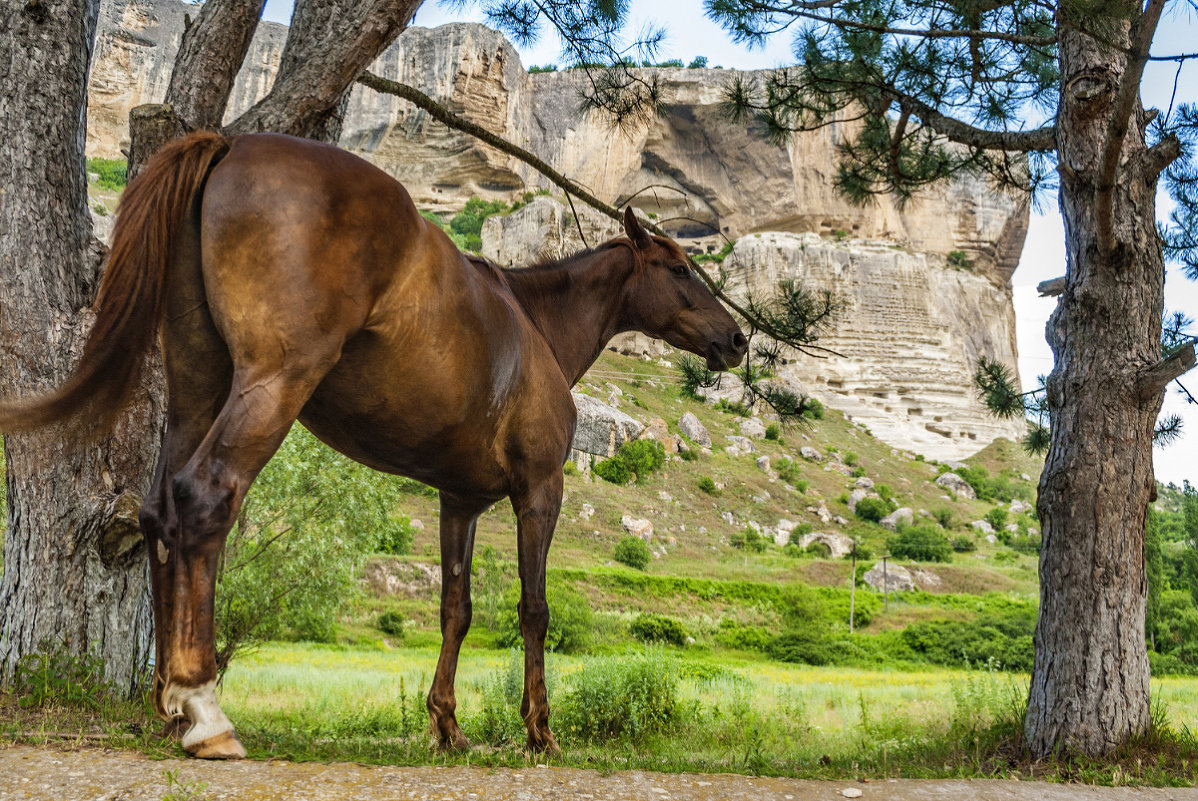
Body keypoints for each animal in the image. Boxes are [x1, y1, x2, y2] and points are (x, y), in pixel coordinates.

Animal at [0, 131, 742, 756]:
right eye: (680, 269)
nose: (736, 339)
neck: (533, 324)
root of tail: (232, 142)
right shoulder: (539, 491)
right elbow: (534, 609)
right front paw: (539, 731)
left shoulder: (459, 502)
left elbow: (454, 610)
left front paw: (446, 724)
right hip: (272, 386)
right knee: (204, 500)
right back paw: (206, 713)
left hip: (196, 386)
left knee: (161, 513)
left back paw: (168, 702)